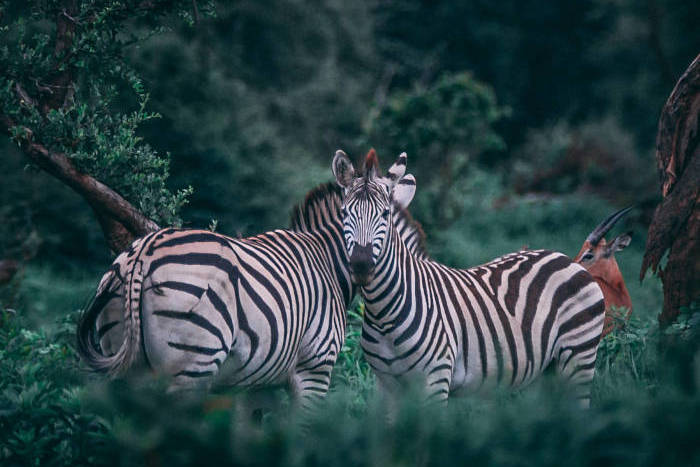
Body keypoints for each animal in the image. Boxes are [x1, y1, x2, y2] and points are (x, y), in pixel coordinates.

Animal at [76, 183, 426, 410]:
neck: (327, 260)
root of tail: (143, 252)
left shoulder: (258, 380)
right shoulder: (315, 367)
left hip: (122, 358)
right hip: (192, 363)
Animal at [330, 151, 604, 410]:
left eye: (385, 214)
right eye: (343, 212)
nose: (361, 266)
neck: (384, 313)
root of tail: (565, 258)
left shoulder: (436, 379)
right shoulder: (386, 385)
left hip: (579, 357)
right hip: (545, 372)